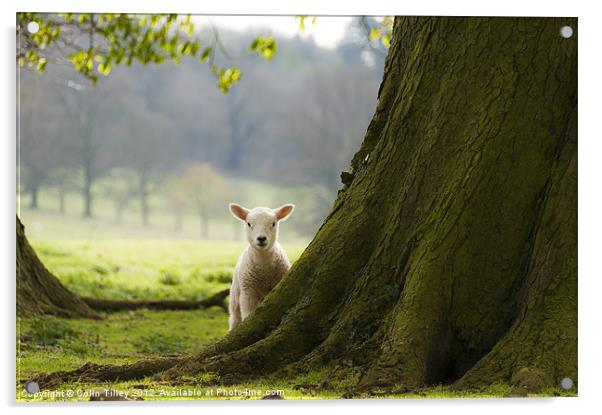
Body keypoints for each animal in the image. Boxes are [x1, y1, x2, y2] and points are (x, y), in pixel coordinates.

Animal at [226, 202, 294, 332]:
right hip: (235, 301)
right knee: (235, 320)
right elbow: (247, 315)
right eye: (248, 223)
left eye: (273, 223)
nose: (261, 238)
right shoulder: (247, 292)